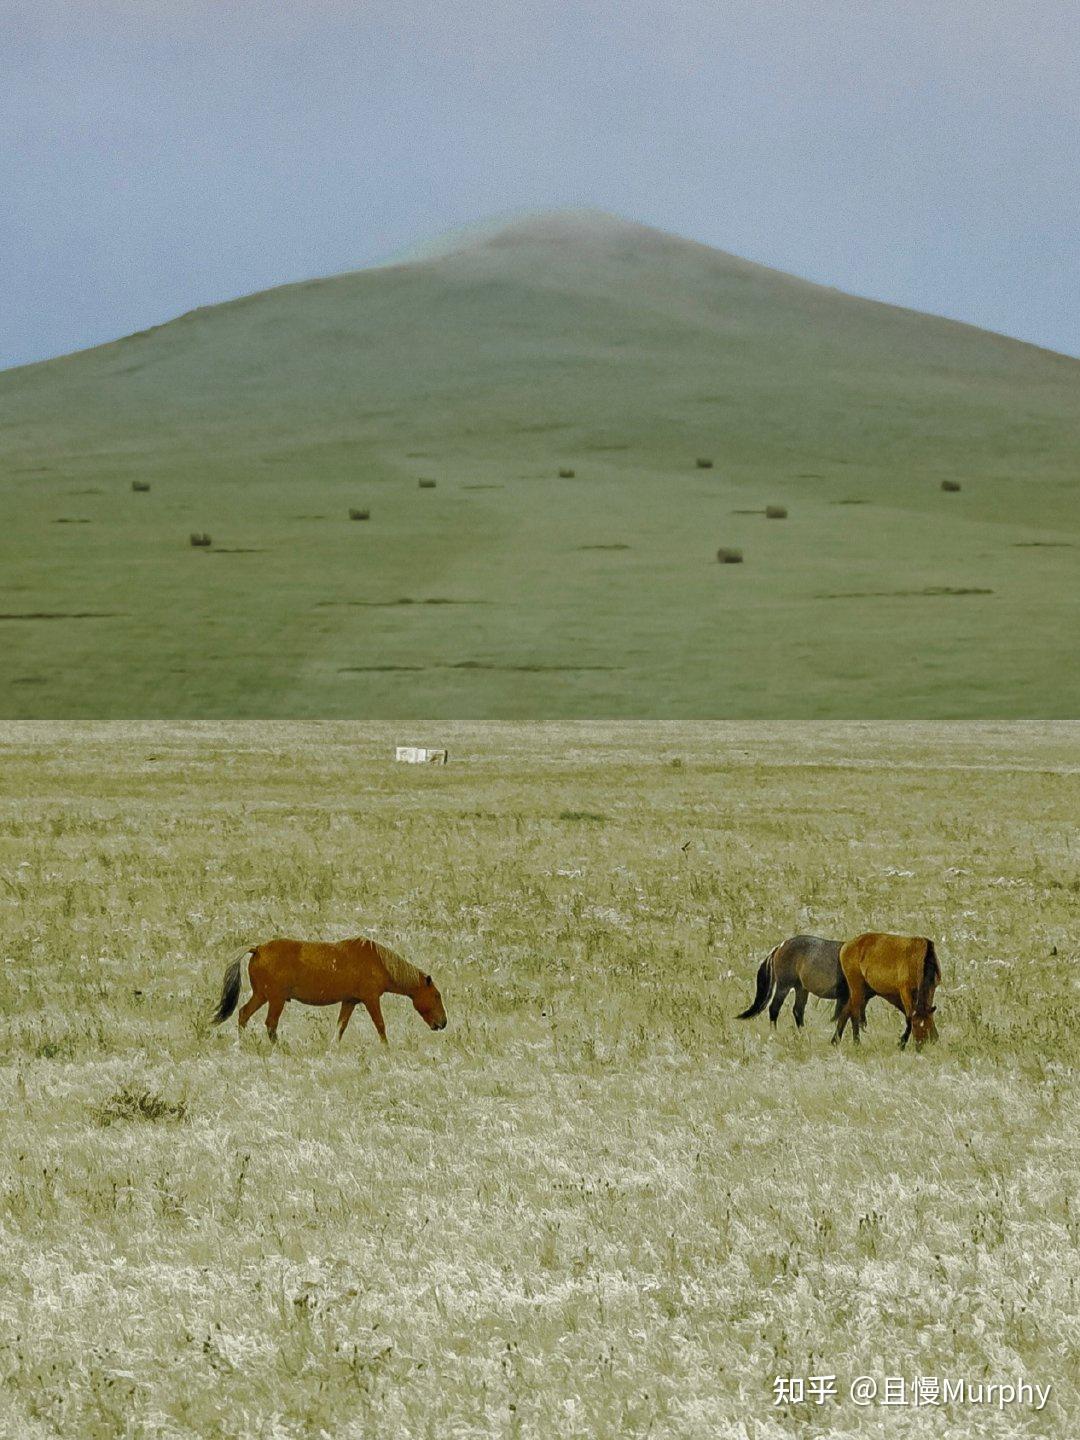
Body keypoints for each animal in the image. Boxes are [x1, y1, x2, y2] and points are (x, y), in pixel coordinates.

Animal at [211, 933, 449, 1048]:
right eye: (437, 995)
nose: (443, 1023)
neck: (379, 962)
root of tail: (257, 949)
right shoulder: (371, 999)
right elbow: (380, 1025)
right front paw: (386, 1048)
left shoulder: (350, 1001)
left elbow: (341, 1027)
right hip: (275, 999)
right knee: (270, 1024)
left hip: (262, 996)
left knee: (243, 1014)